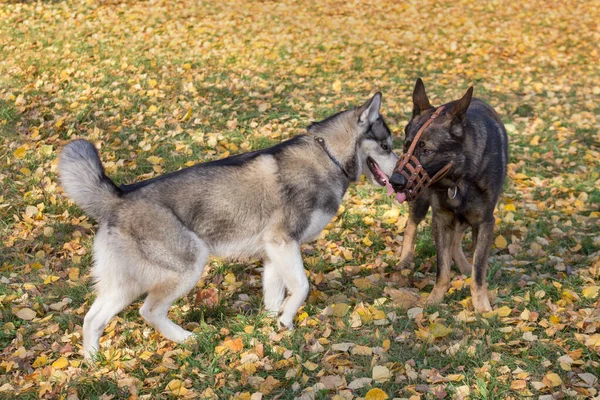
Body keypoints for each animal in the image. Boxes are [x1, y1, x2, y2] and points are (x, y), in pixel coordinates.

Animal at [59, 94, 398, 360]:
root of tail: (117, 197)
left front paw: (273, 328)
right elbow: (301, 287)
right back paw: (187, 339)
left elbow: (274, 297)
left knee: (92, 318)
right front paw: (287, 320)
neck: (327, 156)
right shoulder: (283, 243)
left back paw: (93, 362)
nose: (401, 176)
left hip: (126, 284)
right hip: (187, 265)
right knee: (149, 311)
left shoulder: (274, 253)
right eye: (385, 146)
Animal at [390, 79, 510, 312]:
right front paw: (434, 300)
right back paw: (406, 259)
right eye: (406, 145)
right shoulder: (442, 219)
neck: (459, 177)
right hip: (421, 202)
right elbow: (442, 269)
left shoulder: (484, 222)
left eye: (427, 151)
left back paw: (464, 265)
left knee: (457, 240)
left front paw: (481, 306)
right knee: (412, 224)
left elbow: (479, 271)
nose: (395, 182)